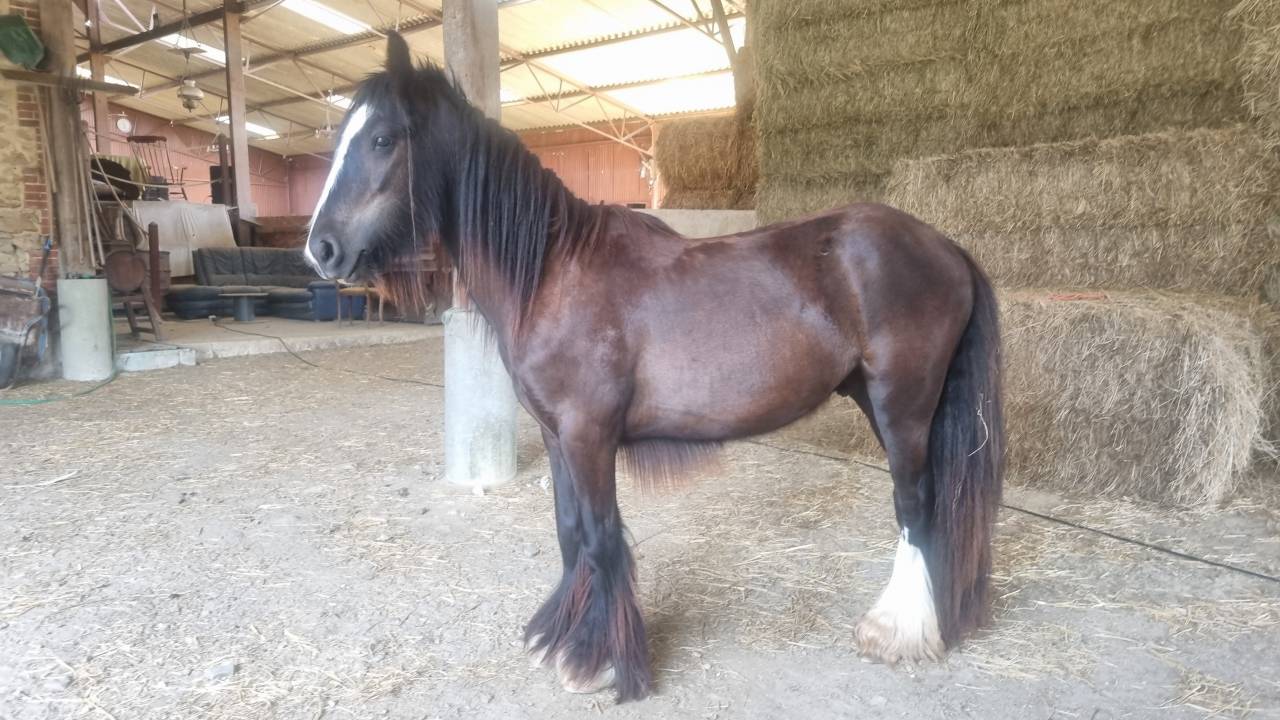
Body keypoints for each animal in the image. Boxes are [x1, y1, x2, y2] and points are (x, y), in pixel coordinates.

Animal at [306, 33, 1005, 703]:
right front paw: (560, 639)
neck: (554, 271)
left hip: (902, 405)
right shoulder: (557, 437)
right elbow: (569, 532)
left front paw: (601, 664)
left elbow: (600, 537)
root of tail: (946, 246)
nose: (320, 249)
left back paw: (899, 630)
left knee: (915, 505)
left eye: (382, 138)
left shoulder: (589, 437)